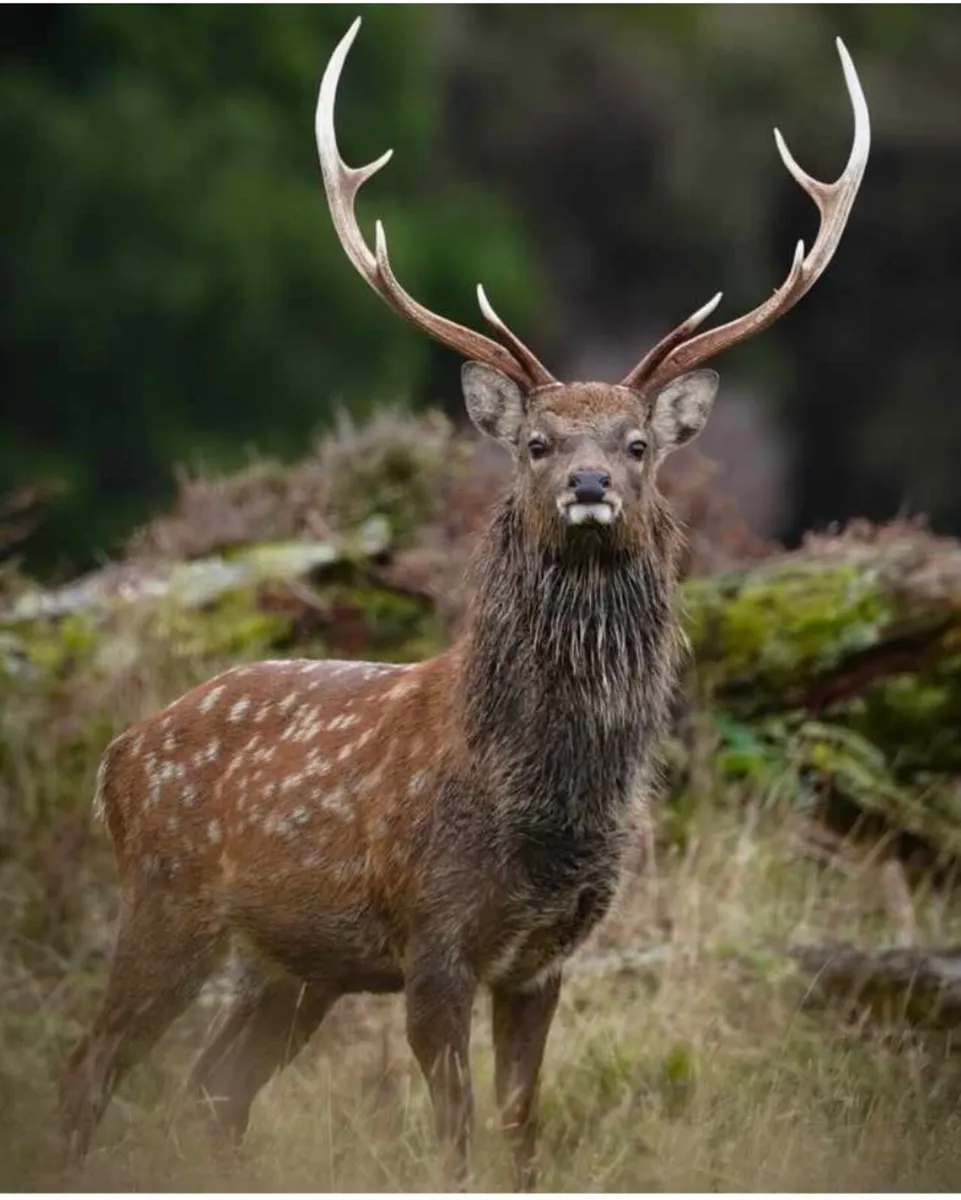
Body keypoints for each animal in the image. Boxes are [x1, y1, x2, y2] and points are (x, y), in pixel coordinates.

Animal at [59, 16, 870, 1190]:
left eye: (638, 443)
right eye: (535, 441)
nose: (589, 483)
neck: (542, 801)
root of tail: (116, 758)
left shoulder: (544, 958)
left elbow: (523, 1136)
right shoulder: (435, 942)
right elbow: (453, 1141)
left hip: (292, 964)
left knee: (212, 1086)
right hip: (168, 899)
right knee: (93, 1063)